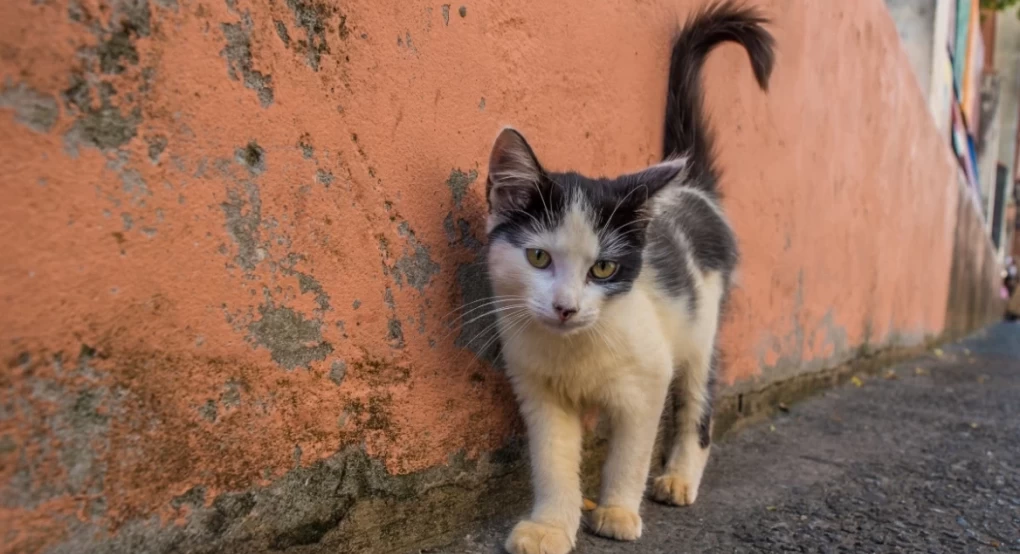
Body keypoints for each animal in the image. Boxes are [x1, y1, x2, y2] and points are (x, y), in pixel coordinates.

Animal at [481, 2, 775, 550]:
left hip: (703, 324)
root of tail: (693, 189)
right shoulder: (539, 390)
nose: (566, 307)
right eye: (538, 258)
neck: (577, 348)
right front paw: (551, 525)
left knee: (698, 402)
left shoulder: (648, 378)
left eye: (603, 268)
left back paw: (679, 477)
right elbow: (552, 460)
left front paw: (617, 511)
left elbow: (630, 453)